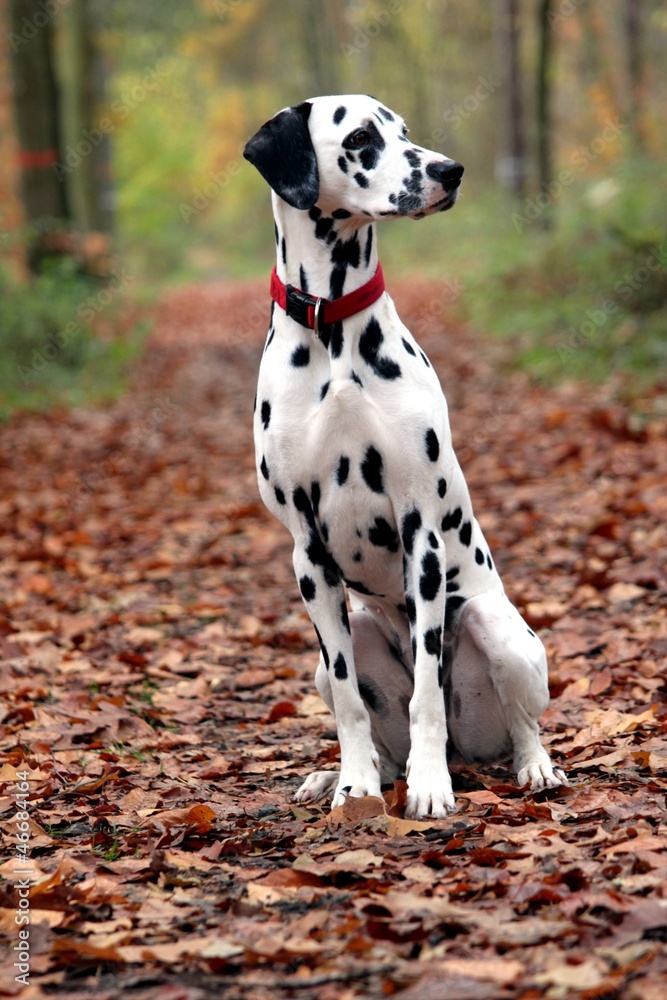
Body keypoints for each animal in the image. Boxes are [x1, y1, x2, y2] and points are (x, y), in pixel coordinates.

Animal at [243, 94, 568, 816]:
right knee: (354, 699)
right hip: (343, 641)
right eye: (362, 137)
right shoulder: (308, 554)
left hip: (493, 626)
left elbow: (425, 689)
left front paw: (428, 785)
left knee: (521, 723)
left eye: (405, 131)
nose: (450, 171)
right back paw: (340, 776)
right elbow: (348, 705)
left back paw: (527, 767)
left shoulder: (420, 528)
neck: (333, 332)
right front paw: (354, 785)